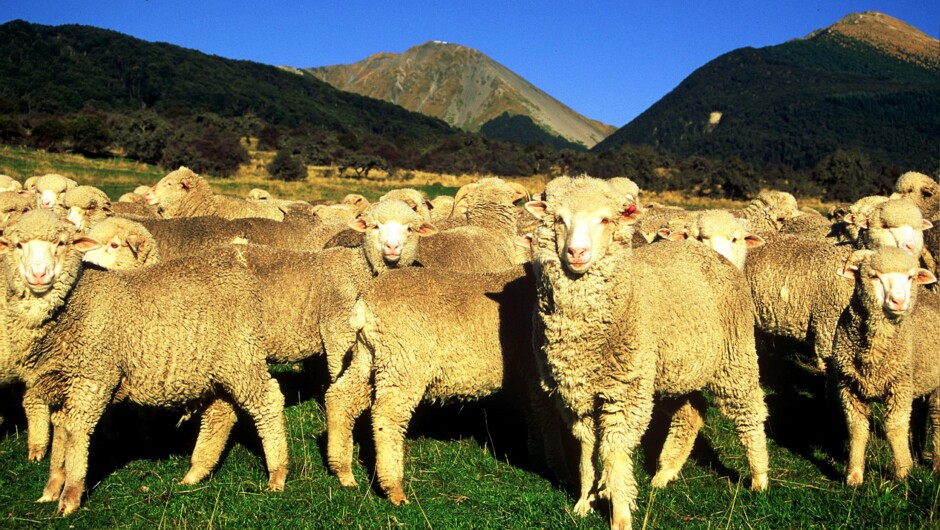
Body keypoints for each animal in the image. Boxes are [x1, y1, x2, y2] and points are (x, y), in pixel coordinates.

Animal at [0, 210, 288, 515]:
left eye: (61, 243)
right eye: (18, 245)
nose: (38, 274)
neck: (75, 303)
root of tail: (242, 275)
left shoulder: (93, 377)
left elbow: (76, 432)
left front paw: (70, 498)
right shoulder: (58, 381)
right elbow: (60, 433)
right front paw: (52, 486)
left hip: (241, 355)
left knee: (268, 401)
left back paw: (277, 473)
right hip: (214, 367)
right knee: (220, 413)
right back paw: (196, 472)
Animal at [527, 176, 769, 530]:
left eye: (605, 220)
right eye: (559, 219)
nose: (576, 252)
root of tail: (709, 254)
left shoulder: (625, 392)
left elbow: (613, 452)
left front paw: (620, 513)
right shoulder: (574, 394)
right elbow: (586, 448)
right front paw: (585, 500)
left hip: (733, 356)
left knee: (749, 411)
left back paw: (759, 477)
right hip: (673, 368)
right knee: (692, 411)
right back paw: (665, 472)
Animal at [830, 248, 938, 486]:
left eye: (910, 277)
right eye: (873, 276)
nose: (899, 301)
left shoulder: (899, 386)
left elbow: (895, 427)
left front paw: (903, 472)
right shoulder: (849, 388)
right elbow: (857, 429)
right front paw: (854, 475)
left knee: (937, 418)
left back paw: (936, 463)